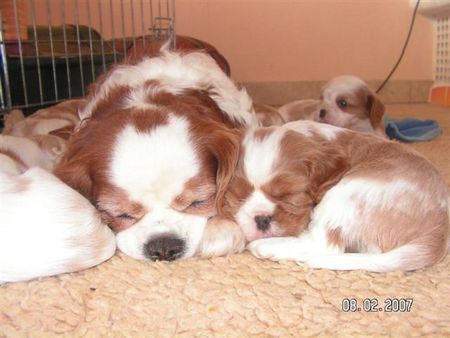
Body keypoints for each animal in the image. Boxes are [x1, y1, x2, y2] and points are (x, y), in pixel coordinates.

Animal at [220, 121, 448, 272]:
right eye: (239, 196)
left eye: (289, 196)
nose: (262, 219)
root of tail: (439, 231)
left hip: (345, 195)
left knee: (326, 245)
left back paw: (268, 246)